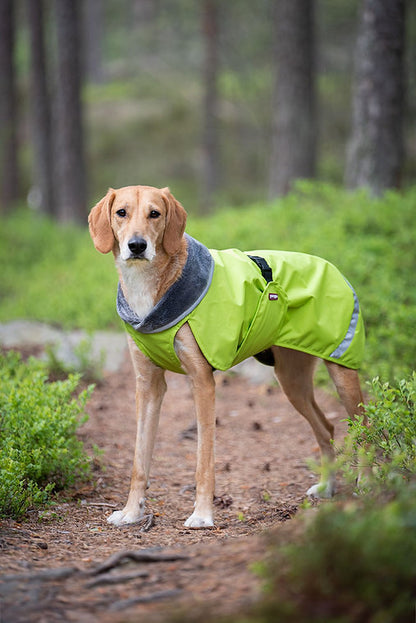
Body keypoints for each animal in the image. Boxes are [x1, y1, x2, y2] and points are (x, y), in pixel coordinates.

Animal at [88, 186, 364, 532]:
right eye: (121, 213)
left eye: (155, 214)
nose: (137, 245)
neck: (151, 289)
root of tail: (331, 265)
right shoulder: (148, 385)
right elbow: (139, 460)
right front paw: (131, 512)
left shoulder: (202, 382)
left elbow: (204, 460)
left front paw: (203, 514)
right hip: (292, 381)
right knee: (325, 427)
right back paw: (328, 487)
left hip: (342, 373)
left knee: (366, 429)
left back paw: (369, 484)